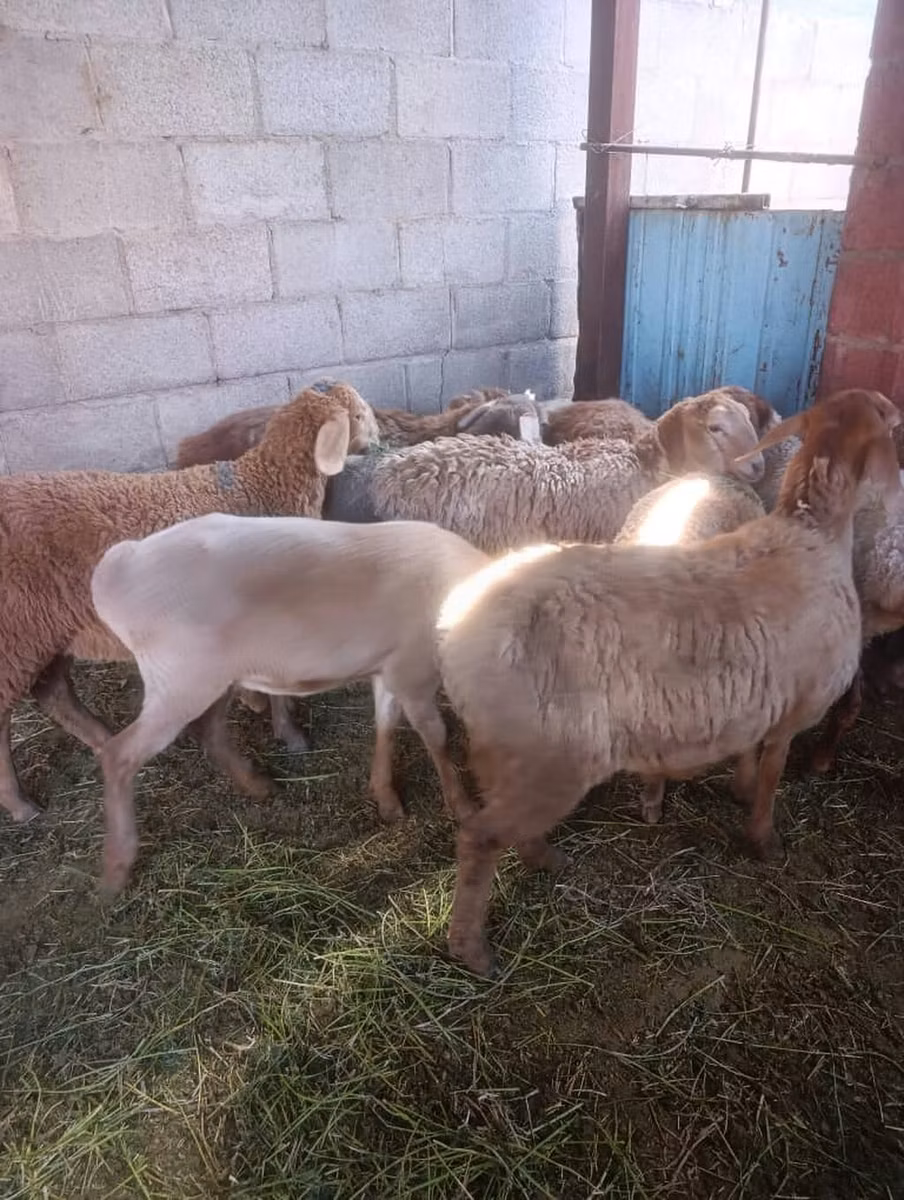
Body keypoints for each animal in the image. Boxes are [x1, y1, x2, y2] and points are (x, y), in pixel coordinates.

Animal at [0, 382, 375, 825]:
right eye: (359, 415)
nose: (380, 440)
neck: (261, 484)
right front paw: (289, 733)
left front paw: (261, 709)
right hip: (16, 632)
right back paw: (21, 805)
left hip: (48, 628)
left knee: (54, 692)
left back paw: (105, 741)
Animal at [90, 514, 490, 894]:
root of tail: (118, 567)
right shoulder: (414, 670)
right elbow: (435, 735)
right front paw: (464, 807)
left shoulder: (390, 668)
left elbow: (386, 725)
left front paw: (387, 799)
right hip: (180, 680)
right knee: (119, 753)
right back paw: (117, 868)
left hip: (213, 678)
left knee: (209, 733)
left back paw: (258, 785)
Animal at [435, 388, 900, 976]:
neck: (808, 533)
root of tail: (456, 630)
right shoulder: (792, 709)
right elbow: (773, 775)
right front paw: (764, 838)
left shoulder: (757, 696)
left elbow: (750, 755)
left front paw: (739, 788)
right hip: (551, 755)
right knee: (481, 836)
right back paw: (471, 950)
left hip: (507, 748)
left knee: (505, 825)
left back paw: (548, 860)